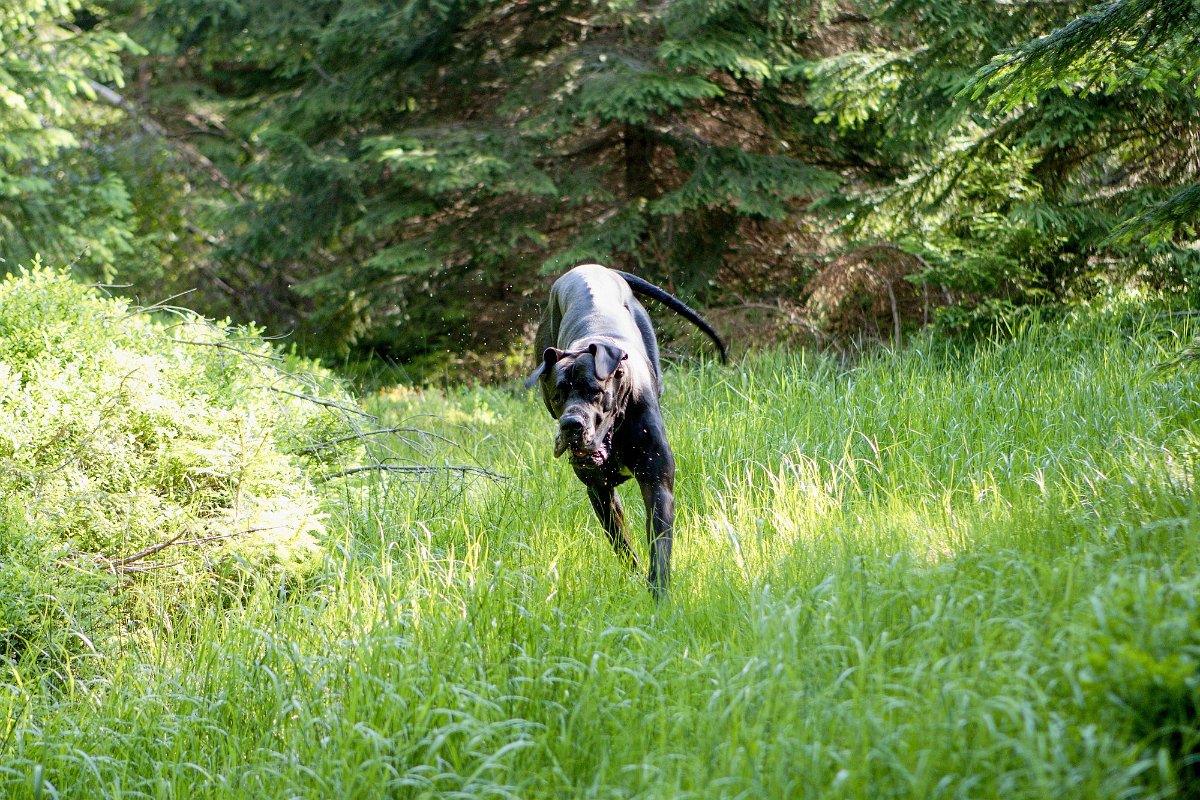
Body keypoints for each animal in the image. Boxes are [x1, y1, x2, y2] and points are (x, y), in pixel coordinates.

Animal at [528, 266, 729, 597]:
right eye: (558, 396)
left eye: (595, 391)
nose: (571, 425)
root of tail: (590, 267)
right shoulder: (599, 491)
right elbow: (621, 543)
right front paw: (635, 581)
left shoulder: (657, 484)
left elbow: (659, 546)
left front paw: (659, 594)